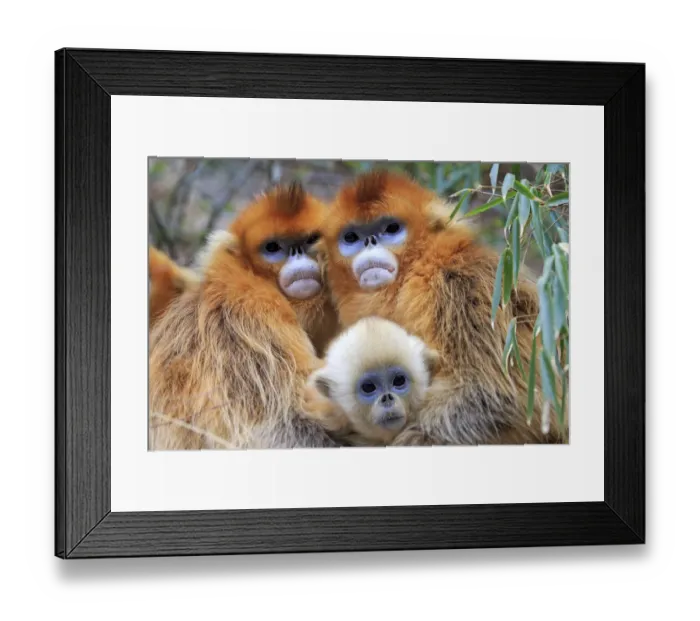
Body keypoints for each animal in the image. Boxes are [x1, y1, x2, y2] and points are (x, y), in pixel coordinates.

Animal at [321, 169, 568, 446]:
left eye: (391, 229)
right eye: (351, 237)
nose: (370, 241)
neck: (419, 270)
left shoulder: (462, 284)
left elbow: (494, 394)